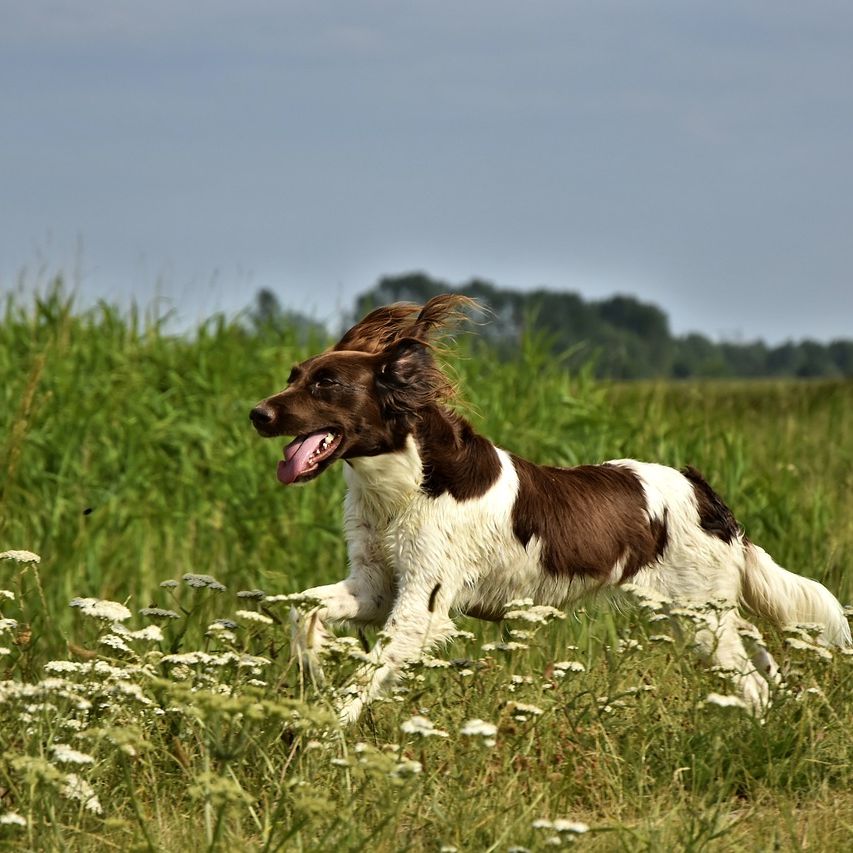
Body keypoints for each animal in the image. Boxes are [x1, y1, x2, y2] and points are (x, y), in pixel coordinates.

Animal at [250, 292, 848, 720]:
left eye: (327, 383)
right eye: (293, 377)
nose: (257, 413)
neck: (406, 483)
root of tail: (704, 491)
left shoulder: (421, 607)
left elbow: (362, 680)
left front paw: (321, 732)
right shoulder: (376, 586)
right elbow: (302, 612)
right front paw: (311, 668)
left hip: (700, 616)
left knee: (753, 685)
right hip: (704, 612)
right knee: (761, 659)